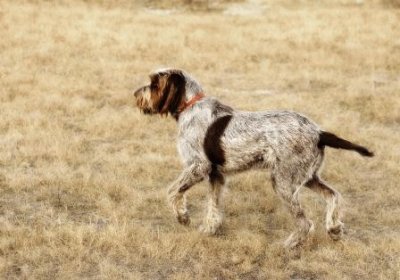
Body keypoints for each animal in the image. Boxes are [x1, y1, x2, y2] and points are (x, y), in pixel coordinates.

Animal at [134, 69, 372, 248]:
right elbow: (213, 206)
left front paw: (183, 217)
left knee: (305, 222)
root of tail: (319, 132)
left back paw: (290, 245)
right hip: (307, 177)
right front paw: (209, 229)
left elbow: (172, 192)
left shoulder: (198, 167)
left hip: (283, 182)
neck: (190, 106)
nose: (136, 94)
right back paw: (334, 228)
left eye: (154, 84)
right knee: (333, 195)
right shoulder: (215, 175)